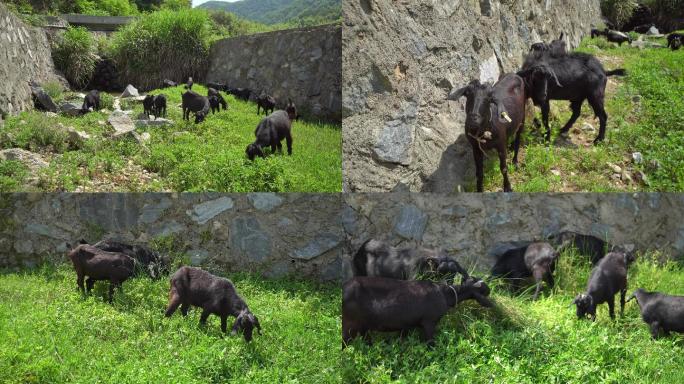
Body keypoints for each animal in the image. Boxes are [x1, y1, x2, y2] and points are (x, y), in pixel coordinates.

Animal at [342, 274, 492, 346]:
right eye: (482, 286)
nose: (490, 290)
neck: (445, 294)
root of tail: (346, 287)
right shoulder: (429, 322)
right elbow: (430, 343)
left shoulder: (406, 325)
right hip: (349, 324)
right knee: (345, 342)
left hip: (364, 325)